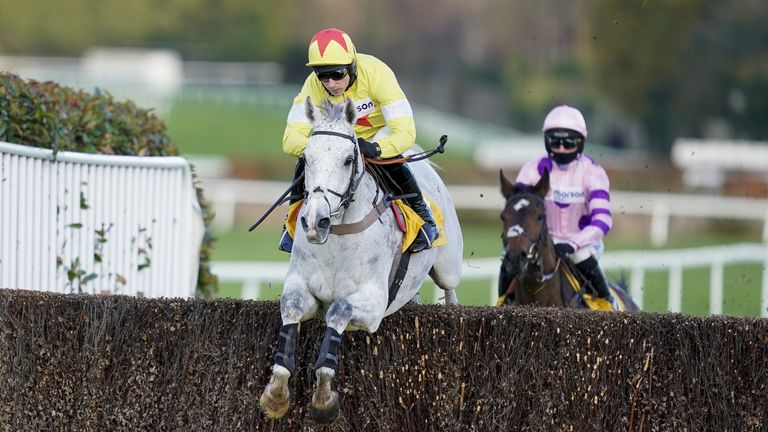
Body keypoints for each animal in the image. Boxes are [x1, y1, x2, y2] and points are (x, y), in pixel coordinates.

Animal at [260, 97, 462, 422]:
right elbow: (291, 306)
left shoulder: (375, 305)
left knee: (450, 291)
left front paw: (324, 398)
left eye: (347, 160)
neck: (338, 235)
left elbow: (339, 309)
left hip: (448, 267)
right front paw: (276, 394)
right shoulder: (301, 284)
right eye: (307, 158)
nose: (315, 222)